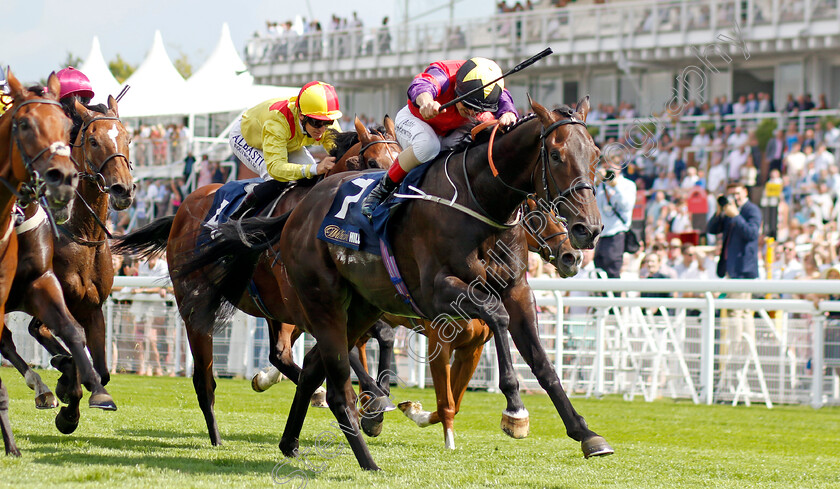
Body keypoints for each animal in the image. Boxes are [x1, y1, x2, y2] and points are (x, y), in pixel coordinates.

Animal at [0, 97, 132, 432]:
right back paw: (45, 387)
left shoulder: (93, 308)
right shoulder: (44, 302)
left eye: (127, 138)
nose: (123, 189)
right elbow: (60, 349)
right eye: (93, 140)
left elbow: (102, 370)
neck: (80, 232)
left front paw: (77, 397)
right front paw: (67, 402)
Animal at [110, 116, 398, 444]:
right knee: (205, 379)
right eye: (372, 162)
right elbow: (344, 350)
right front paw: (375, 404)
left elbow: (371, 338)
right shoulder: (310, 306)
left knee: (279, 355)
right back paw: (217, 435)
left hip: (272, 309)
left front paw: (374, 403)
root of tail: (183, 207)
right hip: (196, 306)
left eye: (399, 156)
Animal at [179, 96, 612, 468]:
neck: (477, 201)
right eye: (555, 155)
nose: (585, 234)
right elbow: (494, 320)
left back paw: (300, 428)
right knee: (250, 366)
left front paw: (586, 433)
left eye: (596, 157)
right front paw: (514, 407)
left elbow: (540, 360)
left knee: (304, 359)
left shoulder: (516, 290)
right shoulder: (437, 295)